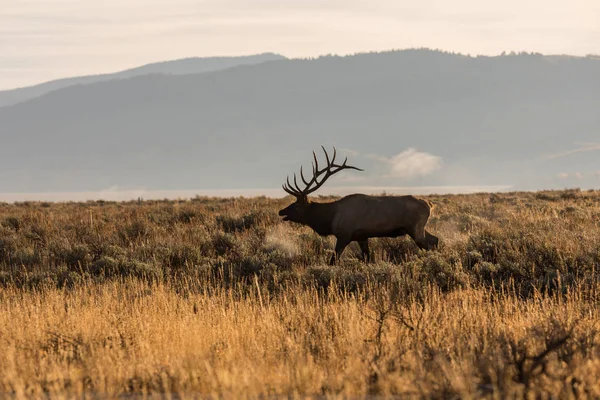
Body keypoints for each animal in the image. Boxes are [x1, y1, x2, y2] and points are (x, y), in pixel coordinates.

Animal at [278, 145, 438, 264]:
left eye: (297, 205)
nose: (281, 211)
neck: (330, 218)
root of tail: (429, 204)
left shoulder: (344, 235)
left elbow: (333, 260)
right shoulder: (362, 236)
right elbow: (367, 258)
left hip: (415, 228)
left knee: (429, 244)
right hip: (418, 228)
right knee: (435, 239)